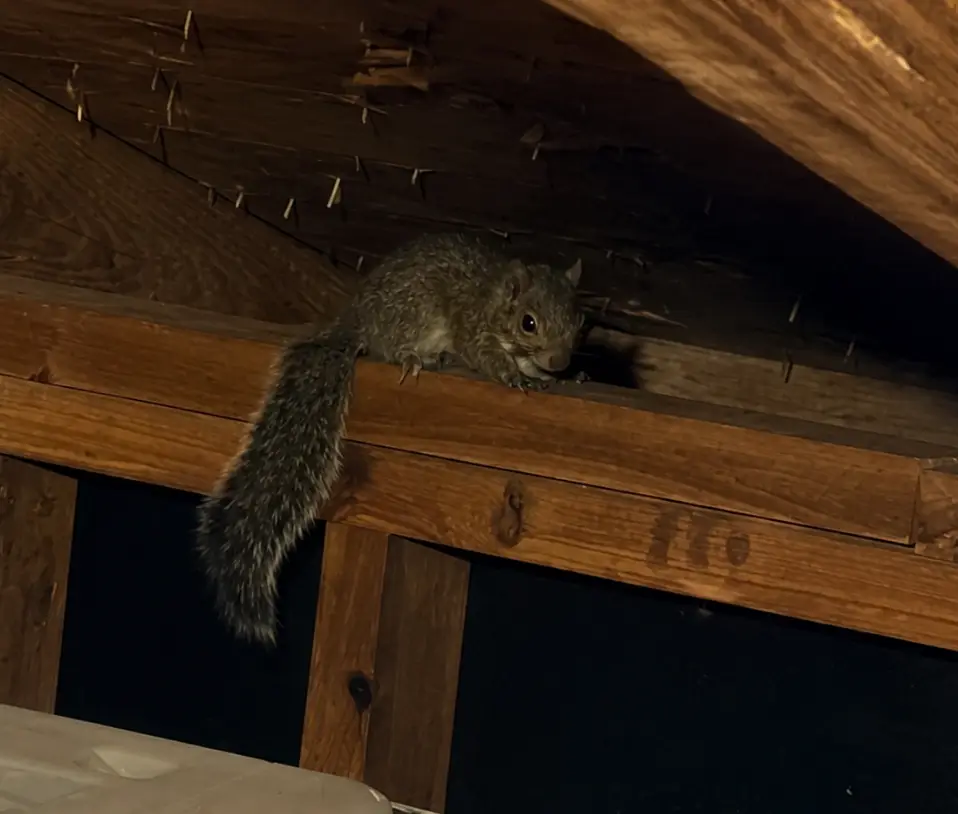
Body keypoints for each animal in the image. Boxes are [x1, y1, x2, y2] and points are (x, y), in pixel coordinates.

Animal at [194, 232, 585, 646]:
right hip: (411, 311)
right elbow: (486, 357)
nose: (560, 361)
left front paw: (566, 377)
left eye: (581, 322)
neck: (493, 299)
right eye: (528, 323)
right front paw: (516, 376)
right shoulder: (473, 324)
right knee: (390, 345)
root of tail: (356, 318)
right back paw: (414, 356)